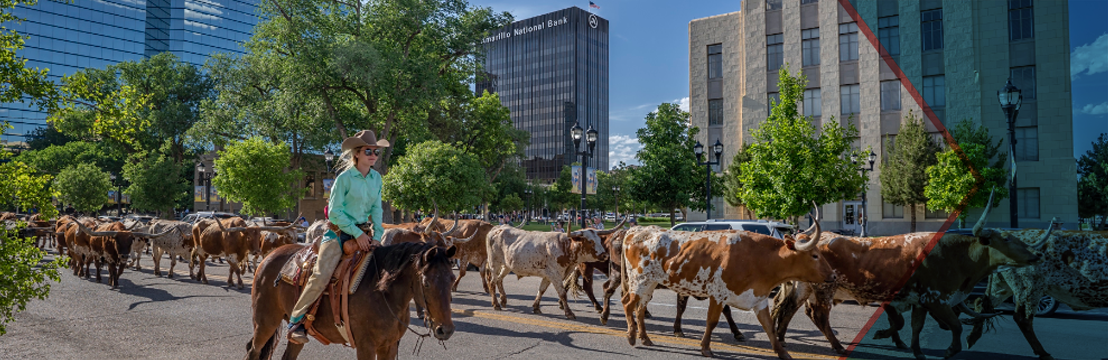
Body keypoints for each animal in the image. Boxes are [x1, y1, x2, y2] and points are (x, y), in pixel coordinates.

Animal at [245, 239, 458, 358]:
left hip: (293, 335)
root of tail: (268, 256)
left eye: (452, 279)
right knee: (253, 351)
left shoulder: (389, 346)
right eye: (427, 283)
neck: (384, 294)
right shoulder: (366, 346)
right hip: (265, 322)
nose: (445, 330)